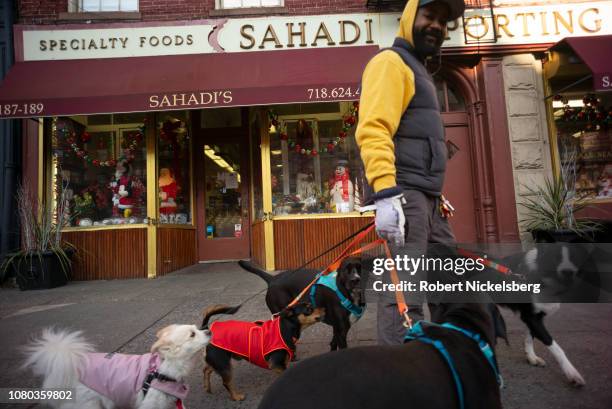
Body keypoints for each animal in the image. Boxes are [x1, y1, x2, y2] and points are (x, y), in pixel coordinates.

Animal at [22, 326, 210, 408]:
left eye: (197, 328)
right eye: (192, 334)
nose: (208, 330)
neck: (161, 370)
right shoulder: (149, 405)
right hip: (88, 405)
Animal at [237, 258, 366, 348]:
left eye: (360, 268)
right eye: (346, 269)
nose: (356, 280)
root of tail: (272, 279)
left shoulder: (338, 329)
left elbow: (333, 345)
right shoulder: (341, 330)